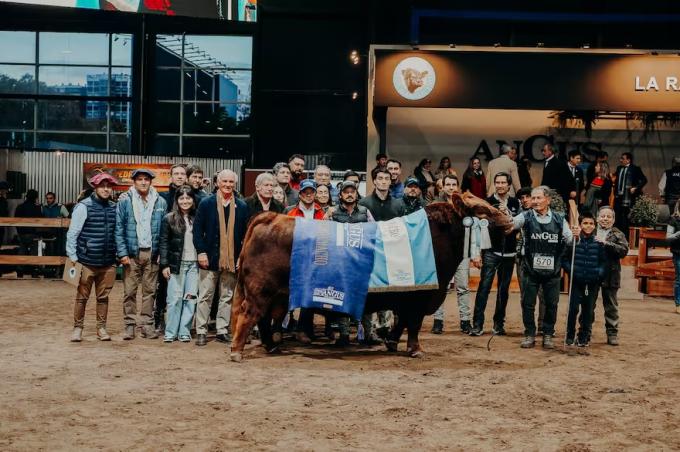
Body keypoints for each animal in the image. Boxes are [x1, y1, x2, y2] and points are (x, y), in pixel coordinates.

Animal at [228, 192, 510, 362]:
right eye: (482, 212)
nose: (508, 219)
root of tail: (270, 217)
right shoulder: (420, 298)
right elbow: (413, 325)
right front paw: (415, 350)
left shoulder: (408, 299)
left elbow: (401, 323)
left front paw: (393, 342)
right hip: (261, 290)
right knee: (249, 315)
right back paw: (237, 351)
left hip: (276, 295)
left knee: (263, 319)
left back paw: (270, 346)